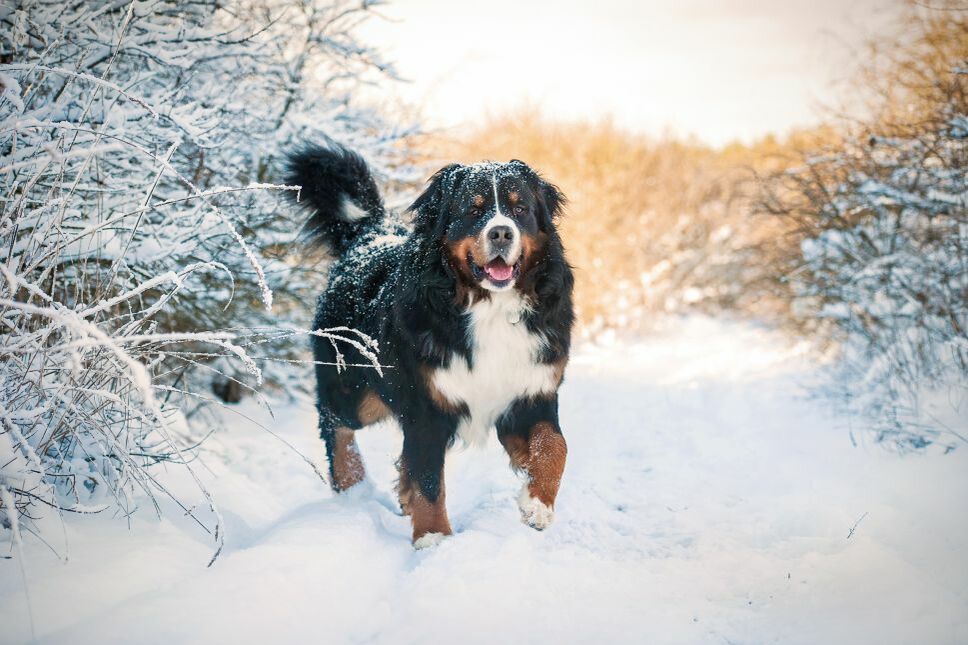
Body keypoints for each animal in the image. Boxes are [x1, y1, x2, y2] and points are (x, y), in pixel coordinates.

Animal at [288, 143, 576, 544]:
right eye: (473, 209)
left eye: (520, 209)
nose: (502, 233)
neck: (489, 307)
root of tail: (371, 234)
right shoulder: (426, 404)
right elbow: (428, 480)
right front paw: (433, 538)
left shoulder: (531, 392)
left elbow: (554, 447)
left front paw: (537, 506)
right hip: (358, 392)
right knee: (335, 422)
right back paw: (352, 484)